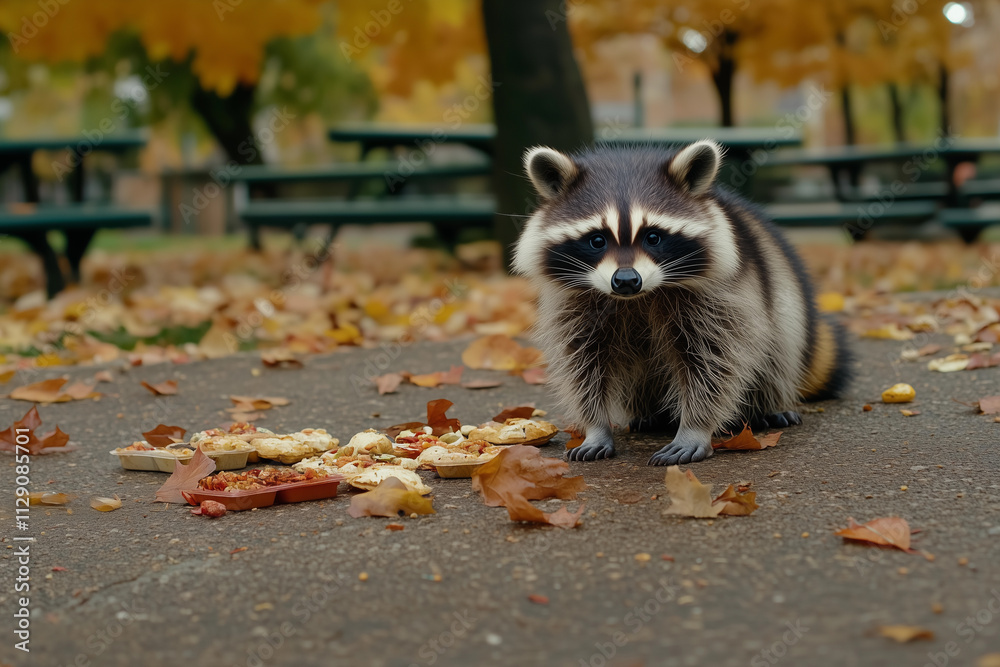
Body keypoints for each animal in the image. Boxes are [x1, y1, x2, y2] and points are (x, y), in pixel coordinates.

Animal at [513, 140, 851, 465]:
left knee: (780, 347)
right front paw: (596, 426)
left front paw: (694, 428)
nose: (626, 280)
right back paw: (650, 413)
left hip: (781, 288)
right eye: (597, 240)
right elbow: (582, 363)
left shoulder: (720, 298)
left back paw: (768, 404)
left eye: (653, 237)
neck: (638, 297)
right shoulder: (575, 304)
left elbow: (714, 361)